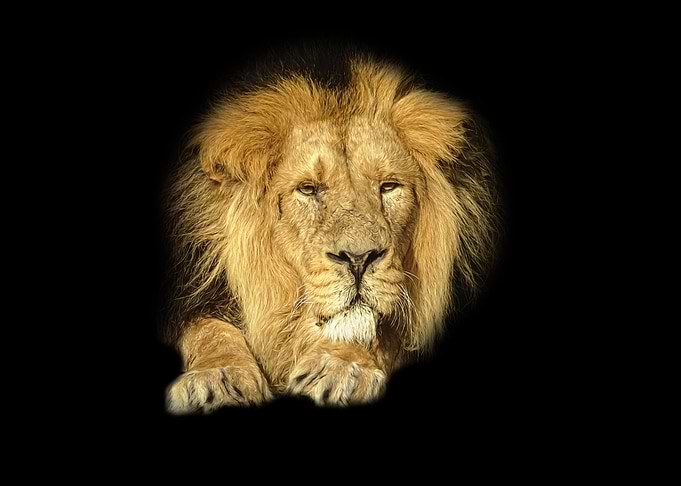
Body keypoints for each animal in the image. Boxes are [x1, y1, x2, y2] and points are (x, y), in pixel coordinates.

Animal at [161, 51, 498, 414]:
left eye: (389, 186)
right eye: (308, 189)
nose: (359, 259)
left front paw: (340, 369)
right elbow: (206, 327)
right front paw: (217, 379)